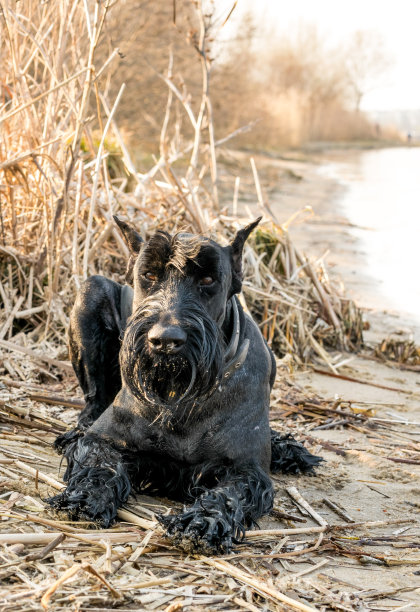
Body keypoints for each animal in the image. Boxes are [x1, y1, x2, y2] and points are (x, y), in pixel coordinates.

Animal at [47, 216, 320, 556]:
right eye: (149, 275)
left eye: (208, 279)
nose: (165, 340)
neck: (180, 396)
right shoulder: (105, 439)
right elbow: (101, 464)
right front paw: (85, 499)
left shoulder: (247, 469)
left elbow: (229, 495)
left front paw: (202, 522)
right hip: (92, 291)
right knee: (93, 400)